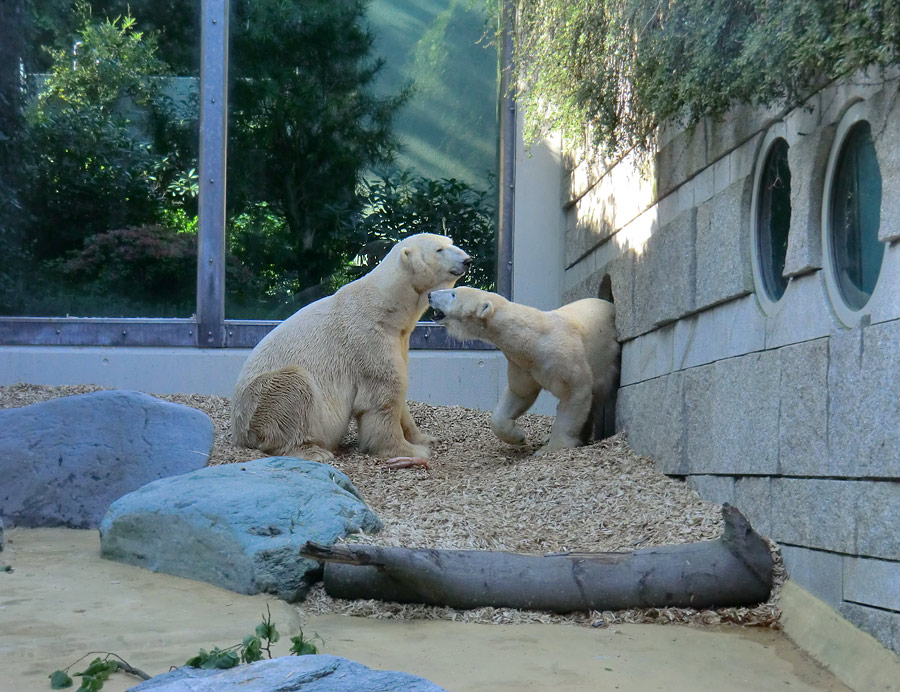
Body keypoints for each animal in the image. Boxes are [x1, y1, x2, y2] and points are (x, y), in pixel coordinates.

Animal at [230, 235, 472, 462]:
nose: (467, 260)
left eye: (450, 242)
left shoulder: (400, 339)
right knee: (293, 386)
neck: (386, 306)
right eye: (439, 249)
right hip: (259, 401)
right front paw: (409, 450)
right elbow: (383, 394)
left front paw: (426, 439)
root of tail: (239, 432)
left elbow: (400, 390)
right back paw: (313, 451)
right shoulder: (367, 339)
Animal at [428, 288, 620, 456]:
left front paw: (553, 447)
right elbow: (519, 393)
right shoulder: (522, 365)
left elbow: (574, 391)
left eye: (453, 294)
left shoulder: (561, 355)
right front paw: (519, 437)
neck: (532, 340)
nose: (430, 294)